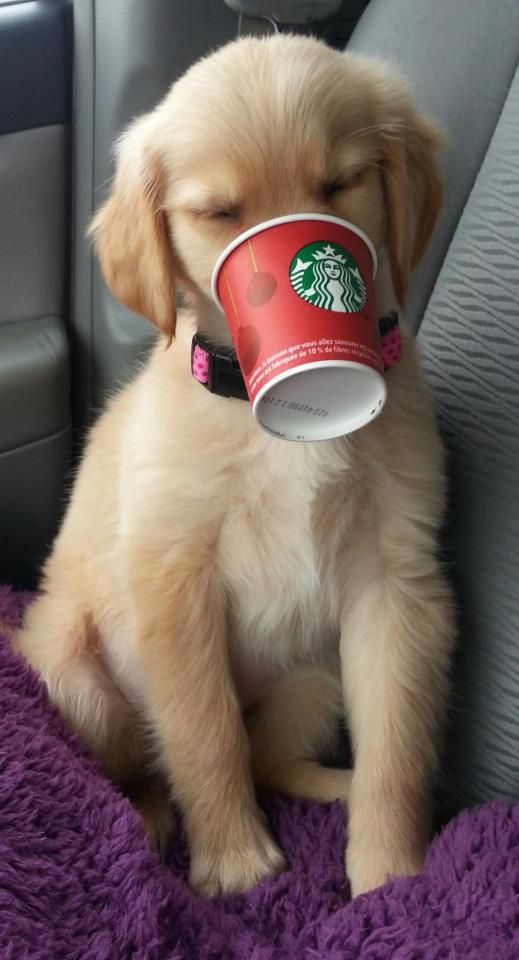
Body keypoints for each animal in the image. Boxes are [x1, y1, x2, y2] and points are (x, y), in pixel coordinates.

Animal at [14, 31, 458, 900]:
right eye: (218, 214)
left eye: (341, 183)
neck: (273, 421)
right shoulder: (173, 576)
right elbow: (201, 731)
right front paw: (233, 861)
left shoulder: (393, 584)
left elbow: (393, 746)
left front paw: (390, 876)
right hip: (72, 671)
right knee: (145, 766)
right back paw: (149, 820)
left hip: (313, 679)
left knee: (269, 759)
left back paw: (332, 786)